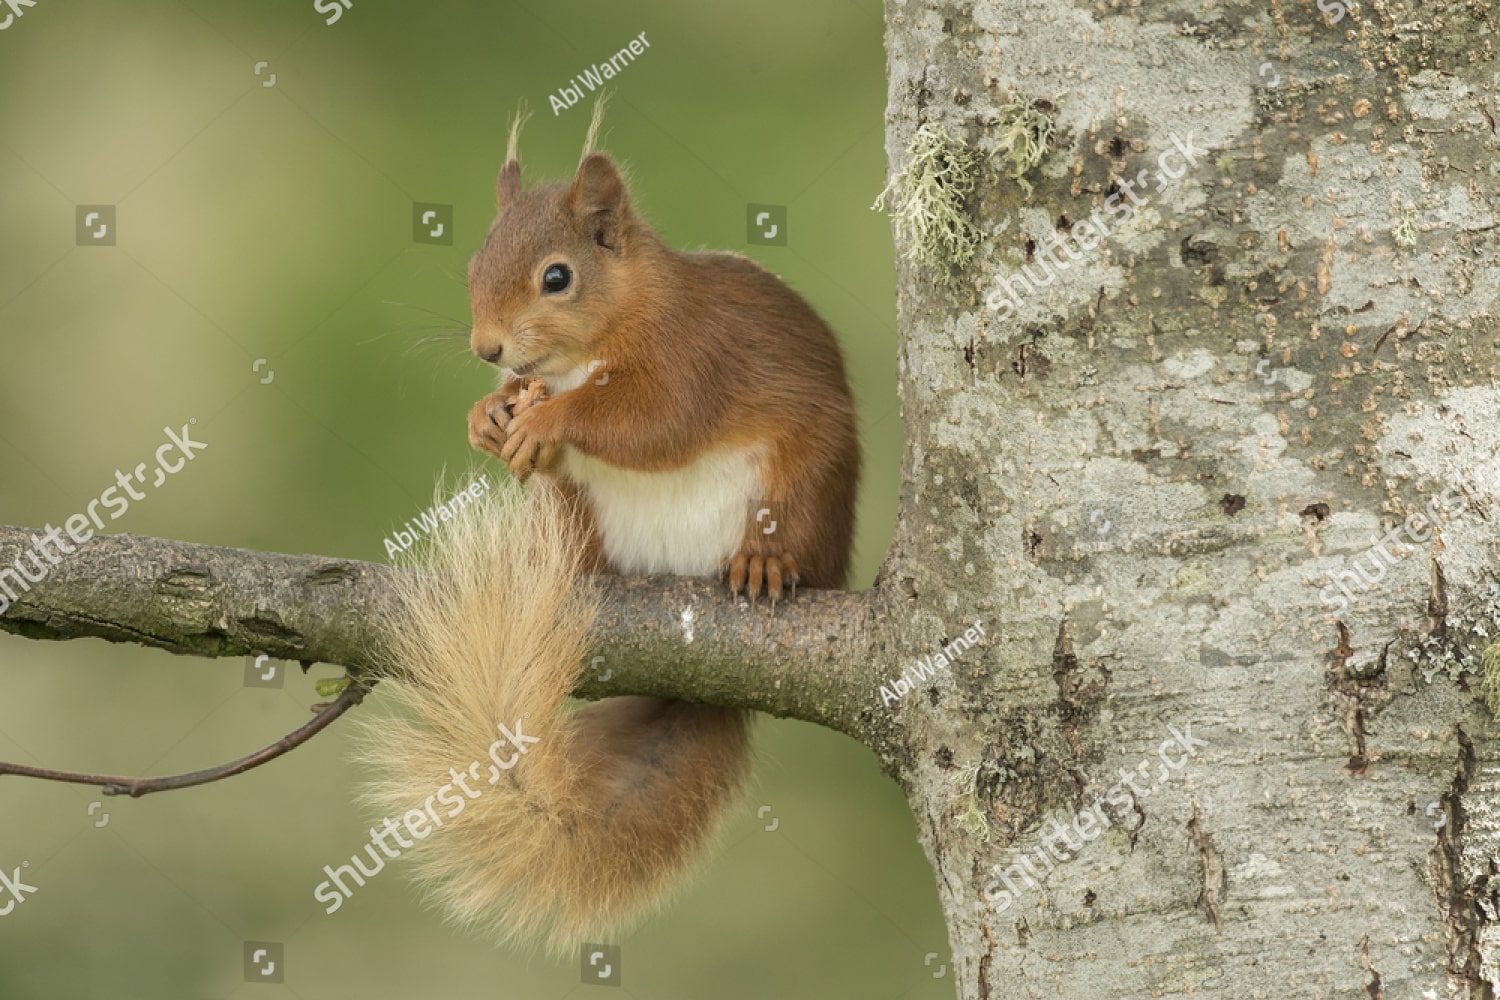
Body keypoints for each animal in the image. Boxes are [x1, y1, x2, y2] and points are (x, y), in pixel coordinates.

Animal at [361, 108, 859, 951]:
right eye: (475, 262)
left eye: (557, 277)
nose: (487, 348)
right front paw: (489, 416)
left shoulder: (693, 355)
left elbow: (653, 420)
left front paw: (547, 418)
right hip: (574, 510)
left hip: (806, 486)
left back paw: (764, 562)